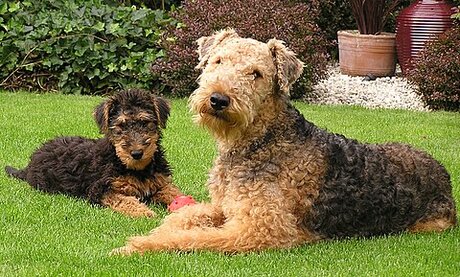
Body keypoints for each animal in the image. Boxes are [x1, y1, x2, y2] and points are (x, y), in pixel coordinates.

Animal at [5, 89, 182, 217]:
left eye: (145, 122)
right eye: (121, 126)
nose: (137, 153)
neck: (138, 169)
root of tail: (30, 163)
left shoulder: (161, 183)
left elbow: (174, 193)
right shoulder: (101, 190)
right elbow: (125, 200)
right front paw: (145, 212)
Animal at [112, 29, 456, 253]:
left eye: (256, 74)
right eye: (218, 61)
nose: (218, 99)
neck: (258, 142)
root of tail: (443, 173)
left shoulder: (259, 229)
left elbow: (195, 238)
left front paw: (138, 245)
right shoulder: (227, 207)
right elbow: (186, 216)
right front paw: (158, 229)